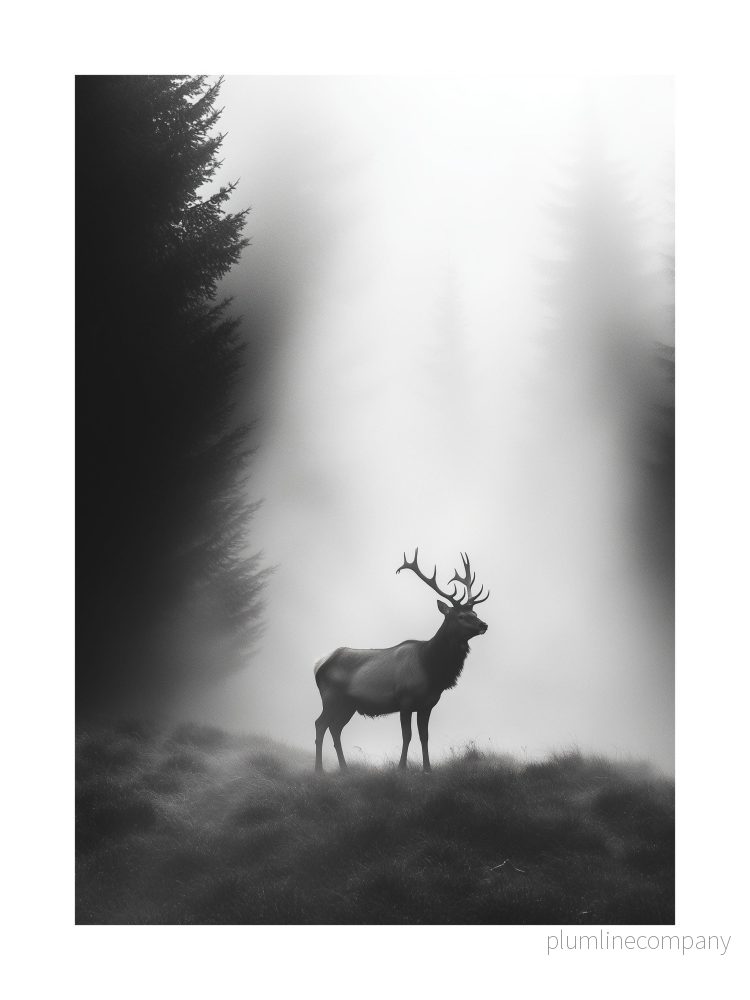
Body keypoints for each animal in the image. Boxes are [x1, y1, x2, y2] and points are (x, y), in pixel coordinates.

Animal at [313, 549, 489, 773]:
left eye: (474, 612)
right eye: (460, 615)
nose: (484, 625)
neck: (432, 670)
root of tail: (319, 664)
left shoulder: (427, 704)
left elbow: (424, 736)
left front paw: (427, 768)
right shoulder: (405, 700)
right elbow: (407, 736)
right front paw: (401, 767)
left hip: (348, 704)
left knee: (335, 728)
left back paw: (344, 769)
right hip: (331, 697)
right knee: (320, 724)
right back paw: (319, 769)